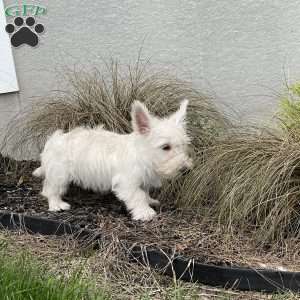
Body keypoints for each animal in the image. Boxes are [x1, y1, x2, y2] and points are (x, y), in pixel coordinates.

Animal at [32, 99, 192, 221]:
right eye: (166, 147)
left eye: (184, 145)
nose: (186, 170)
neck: (144, 156)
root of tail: (52, 141)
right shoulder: (127, 183)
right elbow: (138, 196)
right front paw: (145, 212)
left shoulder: (143, 180)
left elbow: (145, 192)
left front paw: (149, 201)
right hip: (59, 174)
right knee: (50, 190)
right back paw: (57, 205)